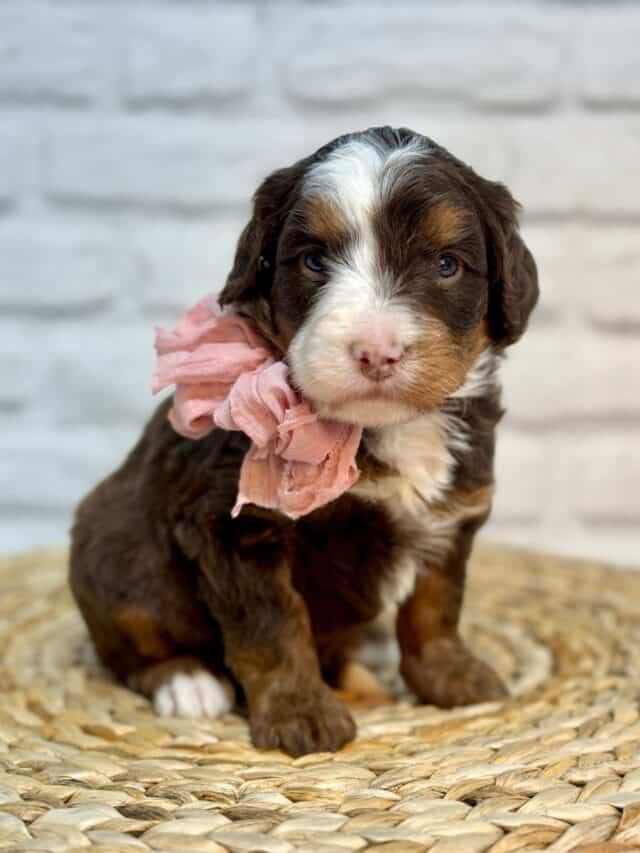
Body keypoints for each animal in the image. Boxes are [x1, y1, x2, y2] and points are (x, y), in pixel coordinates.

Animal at [70, 125, 536, 752]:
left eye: (446, 265)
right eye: (314, 260)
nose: (376, 351)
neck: (377, 430)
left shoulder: (454, 510)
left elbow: (436, 604)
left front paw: (452, 676)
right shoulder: (233, 526)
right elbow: (273, 625)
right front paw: (300, 712)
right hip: (111, 554)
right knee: (130, 645)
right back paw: (187, 682)